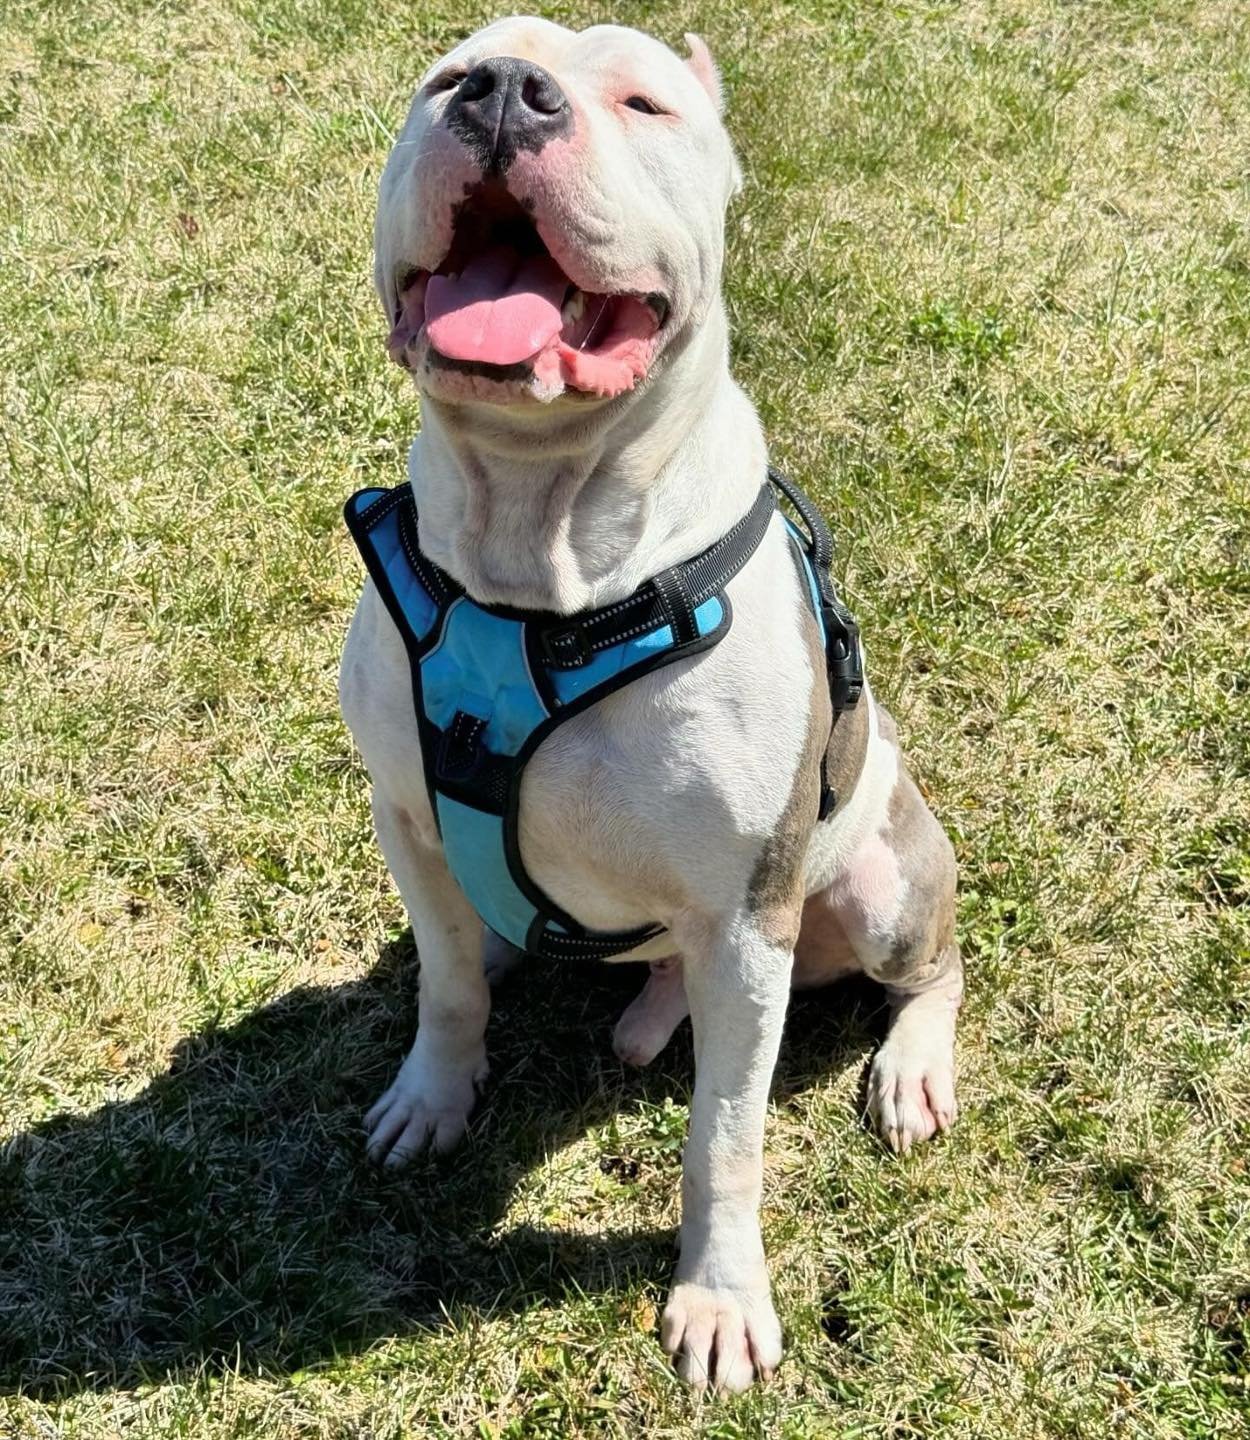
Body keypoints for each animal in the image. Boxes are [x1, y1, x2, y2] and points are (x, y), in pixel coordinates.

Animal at [336, 16, 961, 1388]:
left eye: (642, 102)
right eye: (444, 77)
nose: (504, 94)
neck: (537, 551)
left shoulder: (744, 911)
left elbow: (724, 1136)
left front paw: (719, 1300)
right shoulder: (408, 823)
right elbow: (445, 982)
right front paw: (433, 1094)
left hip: (879, 887)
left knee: (933, 965)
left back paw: (907, 1069)